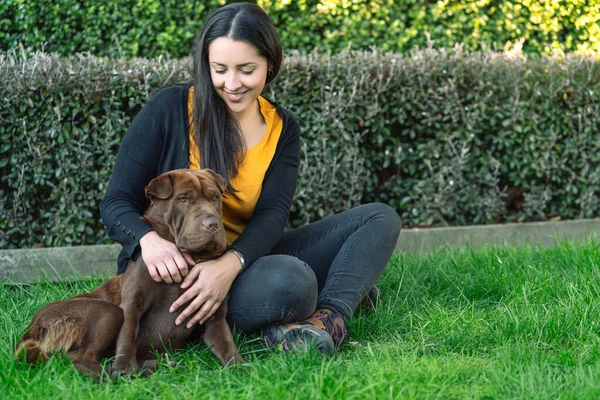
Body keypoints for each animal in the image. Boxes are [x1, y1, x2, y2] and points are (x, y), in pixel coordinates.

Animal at [14, 168, 244, 378]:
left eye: (214, 197)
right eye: (183, 199)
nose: (212, 224)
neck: (189, 258)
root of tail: (32, 327)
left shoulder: (214, 314)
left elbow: (226, 343)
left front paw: (242, 369)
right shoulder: (132, 303)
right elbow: (128, 334)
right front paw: (124, 367)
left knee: (67, 360)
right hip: (106, 311)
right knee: (83, 361)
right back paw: (122, 374)